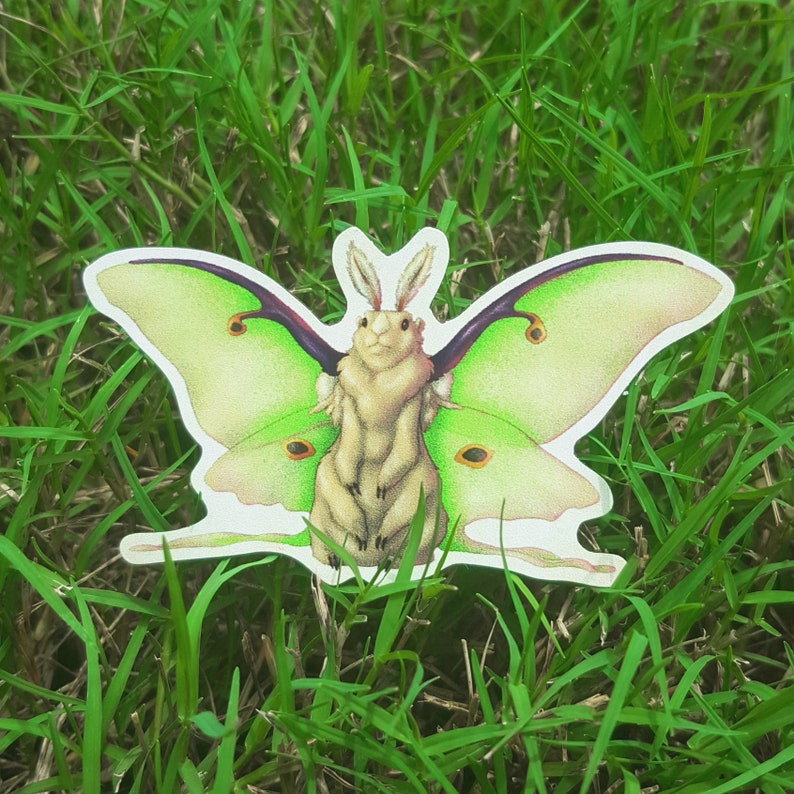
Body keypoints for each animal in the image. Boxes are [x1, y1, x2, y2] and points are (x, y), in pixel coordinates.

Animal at [309, 241, 450, 567]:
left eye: (405, 323)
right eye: (363, 321)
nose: (378, 333)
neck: (379, 382)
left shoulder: (411, 408)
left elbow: (406, 451)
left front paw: (382, 487)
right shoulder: (349, 406)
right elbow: (345, 453)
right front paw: (355, 490)